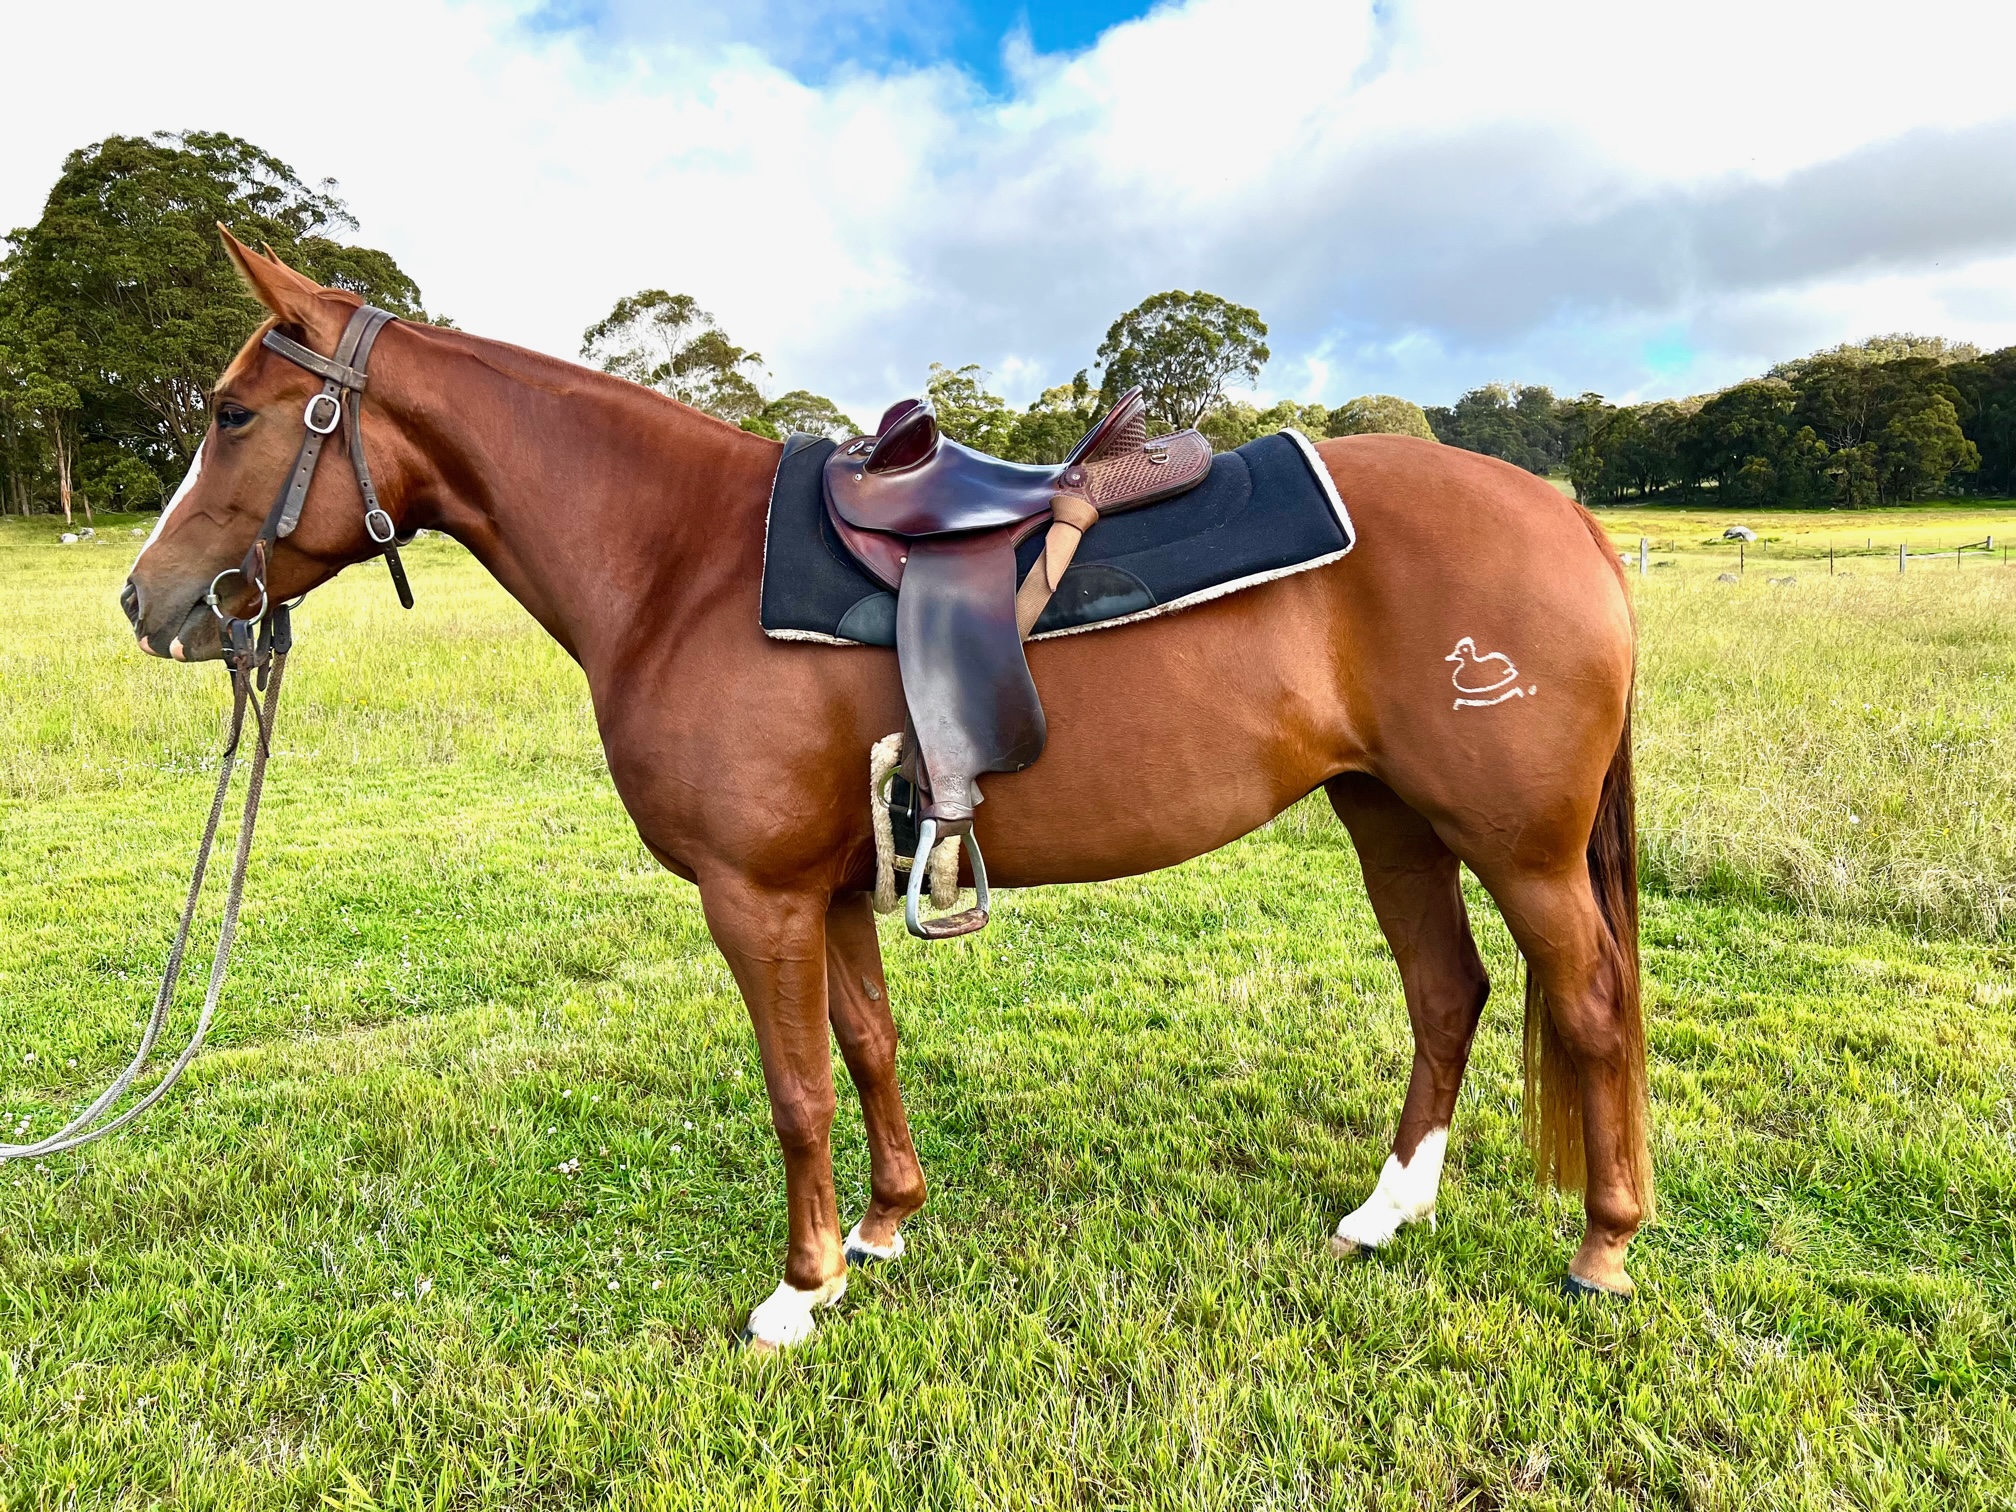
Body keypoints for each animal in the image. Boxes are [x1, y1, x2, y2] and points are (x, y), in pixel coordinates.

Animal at [123, 231, 1650, 1349]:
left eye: (234, 414)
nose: (148, 601)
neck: (681, 565)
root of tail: (1566, 514)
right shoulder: (832, 889)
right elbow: (865, 1048)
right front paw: (884, 1227)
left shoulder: (753, 900)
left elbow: (796, 1087)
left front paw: (800, 1290)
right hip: (1390, 816)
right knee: (1449, 990)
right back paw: (1391, 1213)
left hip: (1518, 843)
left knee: (1588, 1004)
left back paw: (1604, 1245)